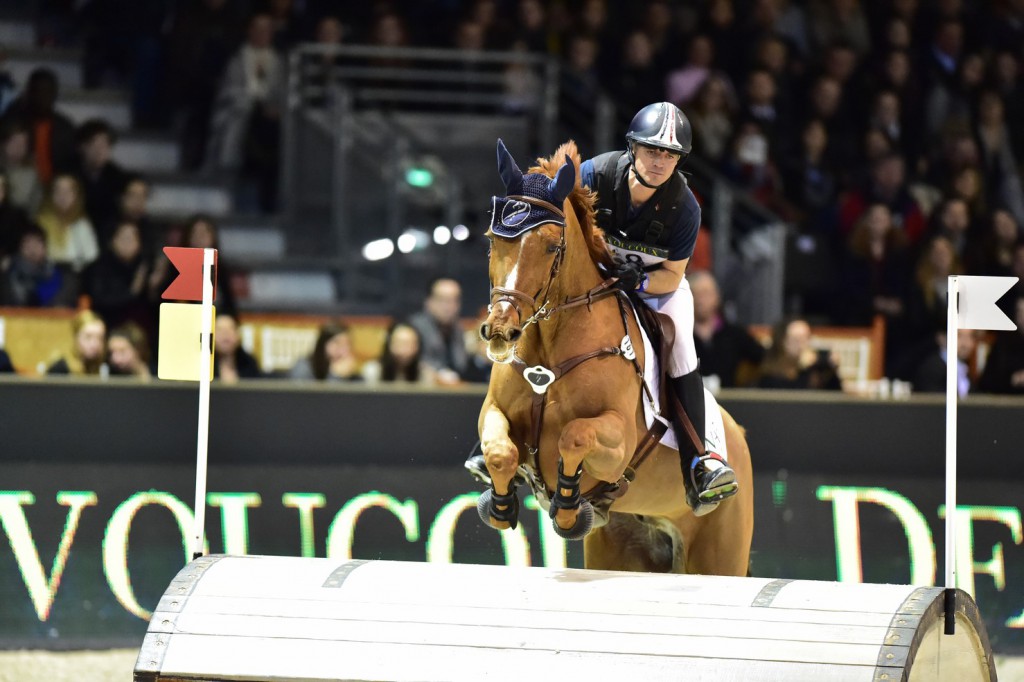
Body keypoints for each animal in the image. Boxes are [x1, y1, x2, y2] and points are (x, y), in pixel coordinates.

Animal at [477, 138, 753, 573]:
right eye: (493, 238)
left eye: (552, 246)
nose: (502, 332)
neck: (549, 348)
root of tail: (737, 438)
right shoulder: (494, 412)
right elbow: (500, 452)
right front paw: (501, 507)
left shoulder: (617, 444)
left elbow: (573, 436)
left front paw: (569, 508)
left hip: (719, 553)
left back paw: (710, 475)